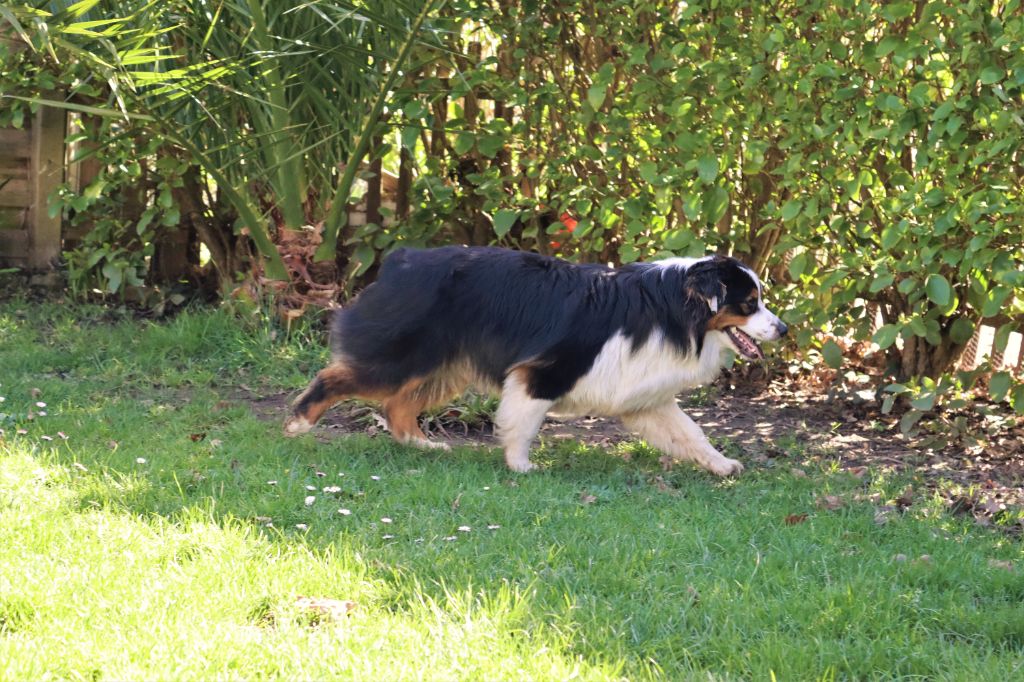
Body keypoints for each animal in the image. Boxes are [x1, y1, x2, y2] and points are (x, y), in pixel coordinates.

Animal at [284, 244, 786, 473]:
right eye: (749, 304)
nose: (783, 330)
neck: (673, 311)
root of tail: (400, 259)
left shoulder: (644, 397)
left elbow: (691, 433)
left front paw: (721, 465)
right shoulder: (543, 372)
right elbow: (522, 423)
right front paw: (520, 465)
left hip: (443, 365)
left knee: (397, 406)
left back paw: (421, 444)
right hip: (403, 357)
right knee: (337, 378)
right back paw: (297, 426)